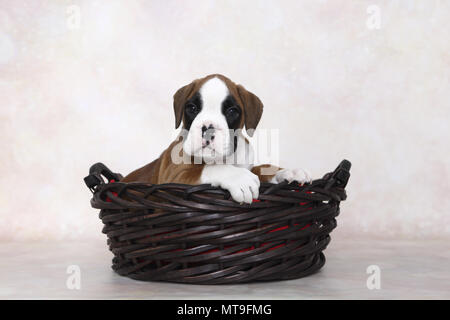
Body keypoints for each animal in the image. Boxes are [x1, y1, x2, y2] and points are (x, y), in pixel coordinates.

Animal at [119, 74, 312, 204]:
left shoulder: (249, 166)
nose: (208, 128)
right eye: (192, 108)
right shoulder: (173, 177)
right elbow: (208, 169)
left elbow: (263, 169)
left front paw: (288, 172)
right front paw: (239, 178)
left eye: (232, 111)